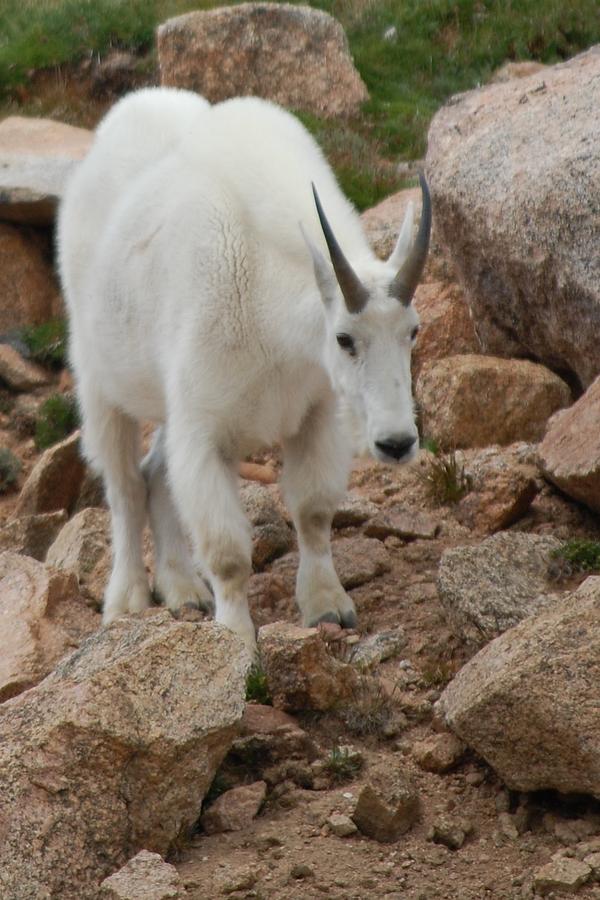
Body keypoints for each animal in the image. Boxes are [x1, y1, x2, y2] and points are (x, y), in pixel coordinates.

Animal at [58, 88, 428, 652]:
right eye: (344, 338)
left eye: (413, 331)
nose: (397, 443)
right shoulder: (203, 430)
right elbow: (228, 551)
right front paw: (235, 638)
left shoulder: (316, 414)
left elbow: (313, 511)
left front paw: (328, 605)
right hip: (99, 379)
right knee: (124, 487)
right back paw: (127, 600)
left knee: (157, 473)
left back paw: (183, 590)